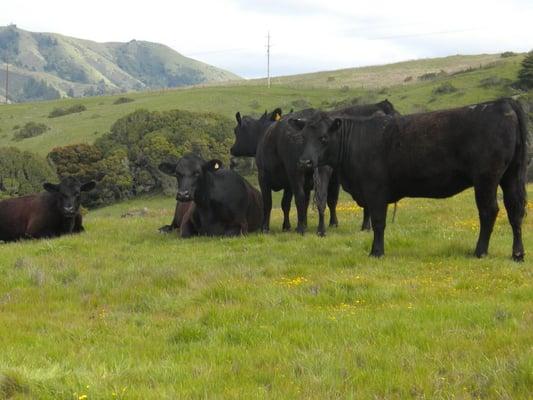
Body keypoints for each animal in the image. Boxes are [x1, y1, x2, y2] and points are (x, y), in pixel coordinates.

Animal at [296, 98, 528, 260]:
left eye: (323, 138)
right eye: (303, 137)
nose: (305, 162)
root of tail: (503, 102)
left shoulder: (375, 191)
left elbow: (378, 222)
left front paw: (376, 252)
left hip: (486, 179)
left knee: (489, 211)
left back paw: (480, 251)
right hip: (511, 175)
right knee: (514, 210)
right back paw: (517, 254)